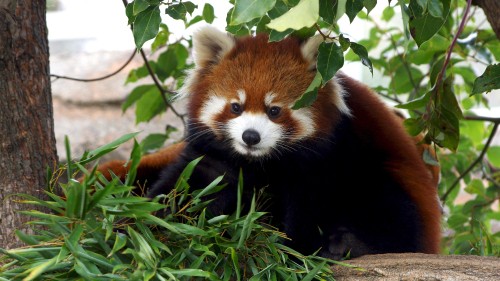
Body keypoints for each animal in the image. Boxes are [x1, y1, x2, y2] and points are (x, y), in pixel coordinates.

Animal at [102, 26, 442, 258]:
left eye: (274, 110)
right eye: (236, 107)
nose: (250, 136)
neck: (264, 160)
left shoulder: (326, 158)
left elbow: (309, 209)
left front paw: (294, 250)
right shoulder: (216, 153)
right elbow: (191, 183)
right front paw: (140, 223)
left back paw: (348, 244)